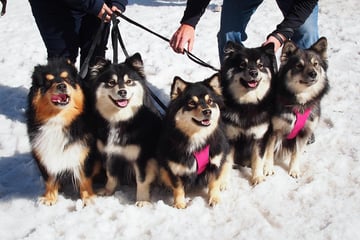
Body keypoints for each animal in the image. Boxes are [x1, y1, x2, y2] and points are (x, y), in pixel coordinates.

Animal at [26, 58, 99, 206]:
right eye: (48, 81)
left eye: (67, 79)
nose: (61, 86)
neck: (58, 119)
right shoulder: (42, 150)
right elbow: (49, 178)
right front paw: (49, 198)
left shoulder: (85, 150)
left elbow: (84, 177)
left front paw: (88, 197)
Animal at [87, 52, 162, 206]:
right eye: (111, 82)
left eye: (129, 82)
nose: (122, 92)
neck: (121, 119)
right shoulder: (110, 152)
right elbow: (110, 174)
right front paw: (108, 191)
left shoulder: (142, 157)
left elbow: (142, 179)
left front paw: (142, 200)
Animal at [221, 41, 278, 185]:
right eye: (242, 64)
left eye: (260, 65)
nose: (253, 72)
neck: (247, 104)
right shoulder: (230, 136)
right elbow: (226, 162)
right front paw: (223, 182)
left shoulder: (260, 136)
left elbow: (258, 158)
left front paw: (257, 178)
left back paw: (268, 167)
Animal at [262, 37, 330, 178]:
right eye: (299, 65)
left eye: (316, 64)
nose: (313, 74)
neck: (299, 103)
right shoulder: (273, 130)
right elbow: (269, 150)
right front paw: (268, 168)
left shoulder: (304, 131)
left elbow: (296, 152)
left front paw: (294, 170)